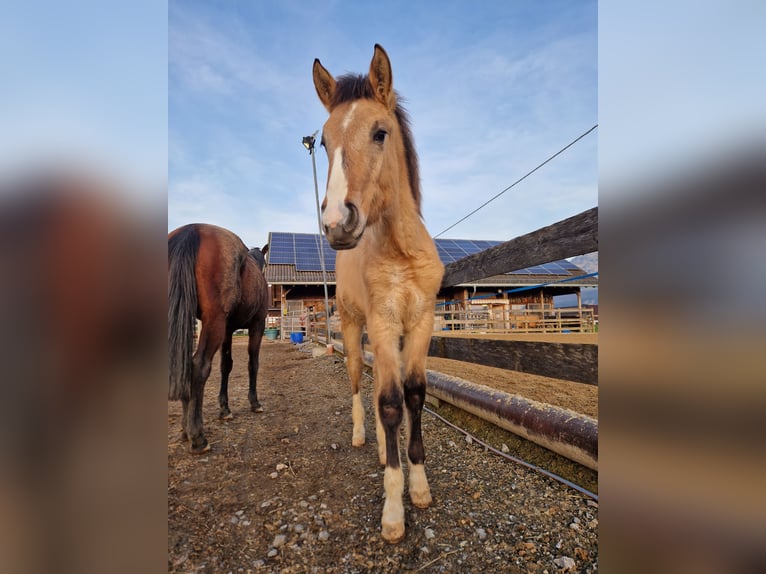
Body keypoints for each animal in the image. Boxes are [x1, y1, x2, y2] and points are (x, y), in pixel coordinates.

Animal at [168, 223, 269, 454]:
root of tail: (192, 229)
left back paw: (185, 430)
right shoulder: (257, 325)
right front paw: (255, 403)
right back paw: (197, 436)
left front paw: (225, 408)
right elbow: (253, 364)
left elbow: (226, 365)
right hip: (214, 321)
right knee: (198, 366)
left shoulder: (228, 331)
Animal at [312, 44, 444, 543]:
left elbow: (414, 396)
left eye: (379, 133)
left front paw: (418, 485)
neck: (401, 251)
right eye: (324, 141)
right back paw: (361, 438)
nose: (336, 223)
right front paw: (393, 511)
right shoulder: (385, 323)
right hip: (355, 328)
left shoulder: (420, 323)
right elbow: (389, 404)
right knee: (358, 381)